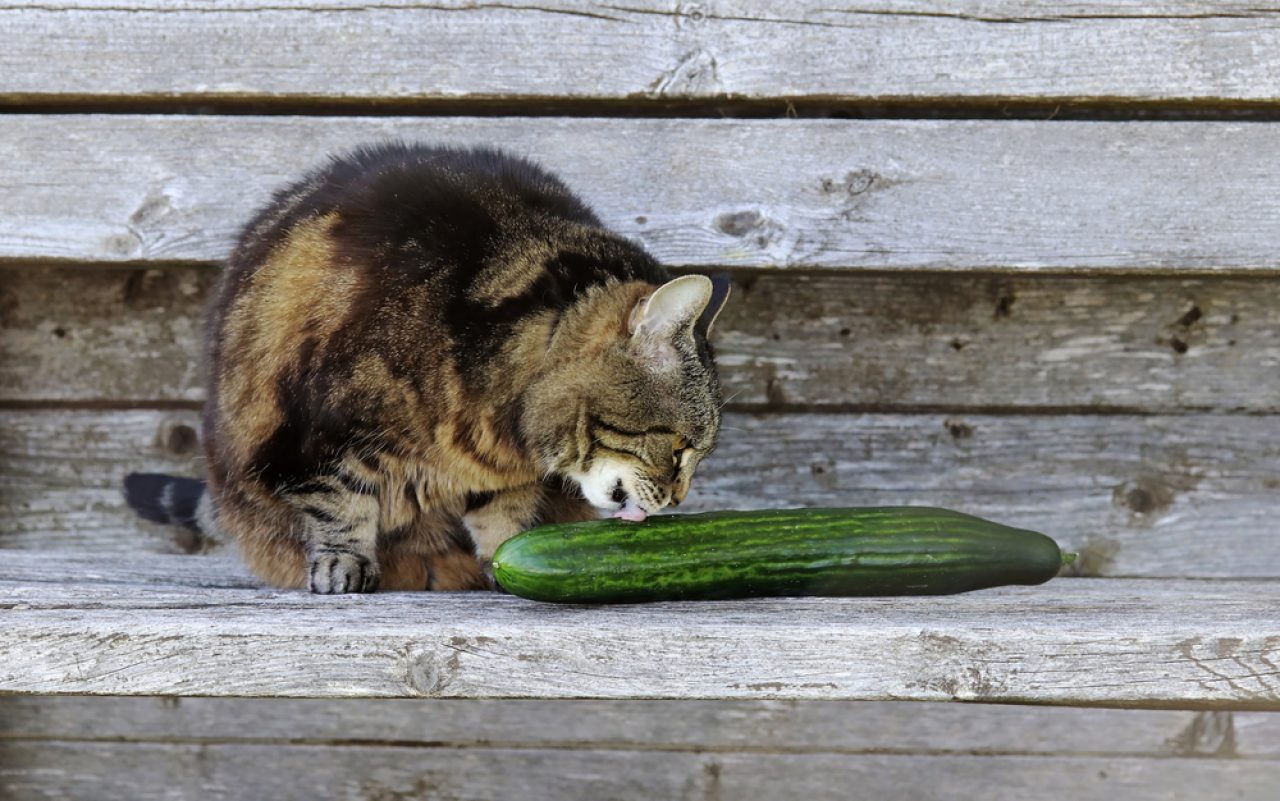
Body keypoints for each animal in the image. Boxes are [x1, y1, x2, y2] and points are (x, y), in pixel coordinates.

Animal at [129, 143, 737, 593]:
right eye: (679, 447)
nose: (680, 500)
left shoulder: (501, 475)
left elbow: (503, 517)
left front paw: (505, 558)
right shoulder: (317, 435)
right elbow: (337, 501)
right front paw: (343, 564)